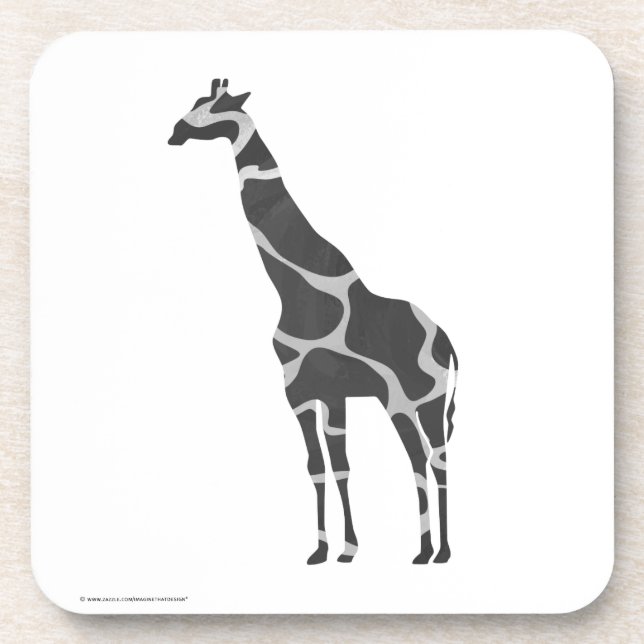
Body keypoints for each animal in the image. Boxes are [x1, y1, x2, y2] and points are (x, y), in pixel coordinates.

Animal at [169, 79, 458, 565]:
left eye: (216, 107)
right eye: (195, 102)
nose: (174, 132)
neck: (293, 289)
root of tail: (448, 343)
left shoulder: (326, 389)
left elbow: (338, 465)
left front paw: (346, 548)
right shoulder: (306, 393)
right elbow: (322, 468)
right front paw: (328, 550)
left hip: (418, 399)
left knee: (430, 459)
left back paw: (436, 552)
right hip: (409, 401)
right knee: (425, 459)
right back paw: (428, 550)